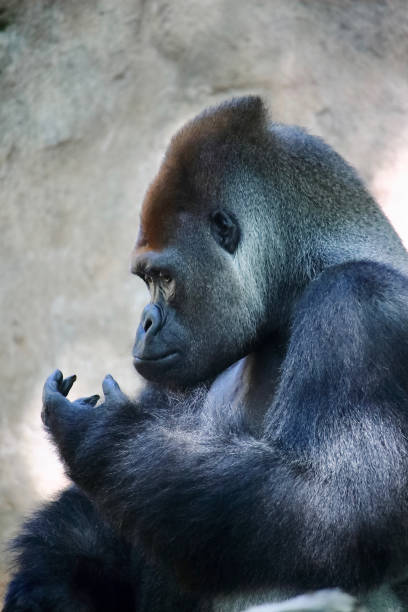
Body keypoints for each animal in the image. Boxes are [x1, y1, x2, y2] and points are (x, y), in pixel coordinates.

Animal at [5, 98, 408, 608]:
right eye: (146, 279)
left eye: (164, 277)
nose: (145, 322)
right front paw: (48, 581)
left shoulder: (359, 302)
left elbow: (334, 508)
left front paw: (100, 434)